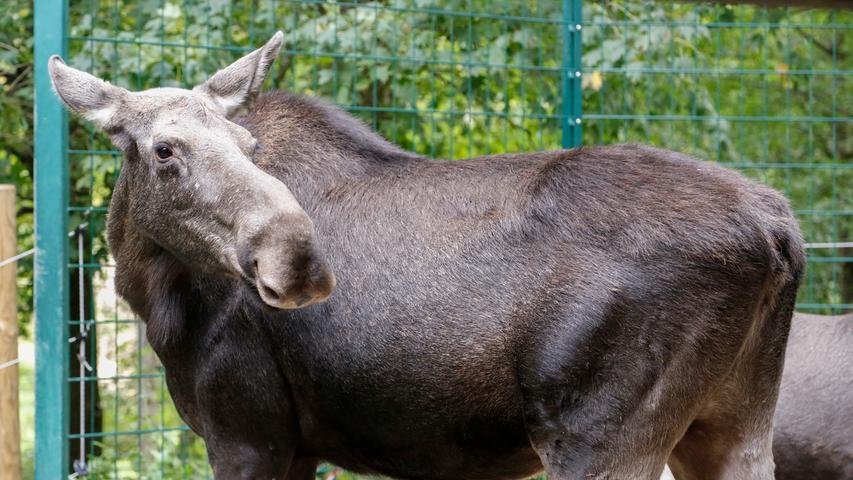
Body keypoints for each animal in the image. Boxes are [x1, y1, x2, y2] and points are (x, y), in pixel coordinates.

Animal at [48, 31, 804, 478]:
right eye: (164, 149)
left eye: (248, 145)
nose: (296, 255)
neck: (148, 290)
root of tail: (780, 233)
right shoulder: (285, 443)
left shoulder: (245, 432)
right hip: (732, 425)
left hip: (601, 434)